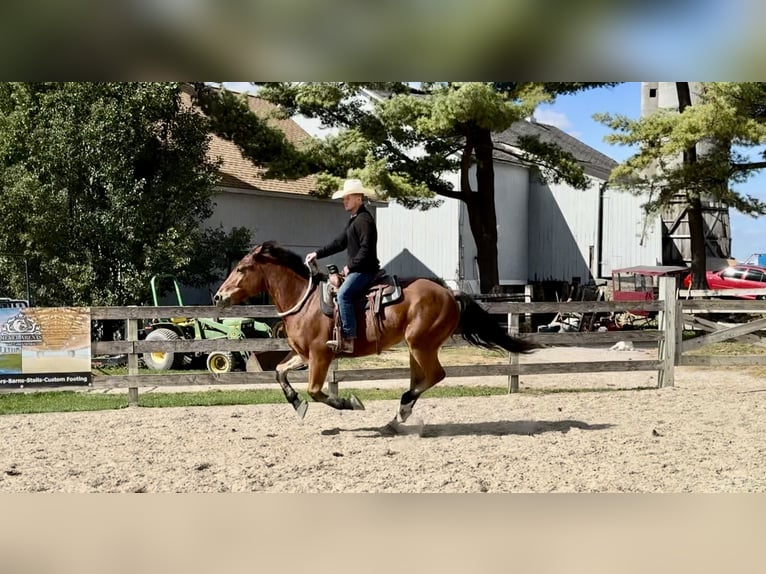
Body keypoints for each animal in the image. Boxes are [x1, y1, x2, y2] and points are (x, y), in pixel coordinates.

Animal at [213, 241, 540, 424]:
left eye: (241, 269)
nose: (218, 297)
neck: (304, 302)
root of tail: (450, 293)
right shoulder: (302, 355)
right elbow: (280, 373)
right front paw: (297, 405)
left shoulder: (320, 356)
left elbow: (316, 391)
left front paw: (349, 403)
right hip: (416, 349)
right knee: (421, 378)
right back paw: (401, 413)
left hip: (421, 344)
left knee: (435, 375)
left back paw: (403, 408)